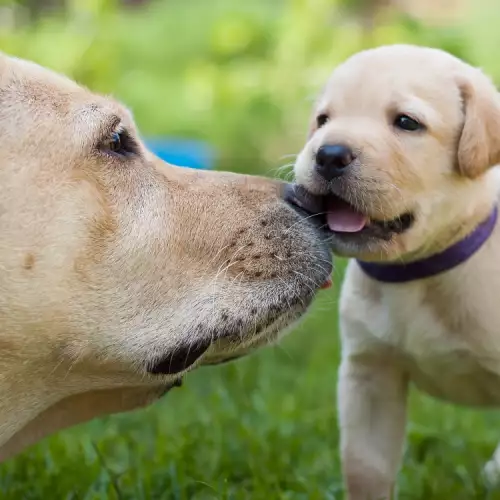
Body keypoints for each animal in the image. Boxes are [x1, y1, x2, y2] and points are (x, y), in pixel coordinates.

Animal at [292, 45, 500, 498]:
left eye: (406, 122)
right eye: (323, 120)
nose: (328, 154)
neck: (418, 272)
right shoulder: (369, 375)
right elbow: (364, 466)